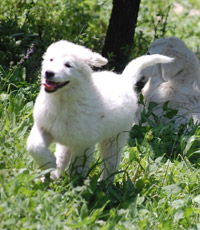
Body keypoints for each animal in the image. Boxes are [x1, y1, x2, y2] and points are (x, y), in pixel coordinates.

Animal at [27, 40, 173, 182]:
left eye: (68, 65)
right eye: (51, 59)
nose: (48, 73)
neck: (62, 101)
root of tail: (124, 79)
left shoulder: (84, 144)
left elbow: (78, 168)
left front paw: (73, 185)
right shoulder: (43, 127)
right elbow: (34, 146)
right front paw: (49, 165)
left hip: (115, 138)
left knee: (111, 162)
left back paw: (104, 184)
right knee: (63, 154)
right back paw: (54, 175)